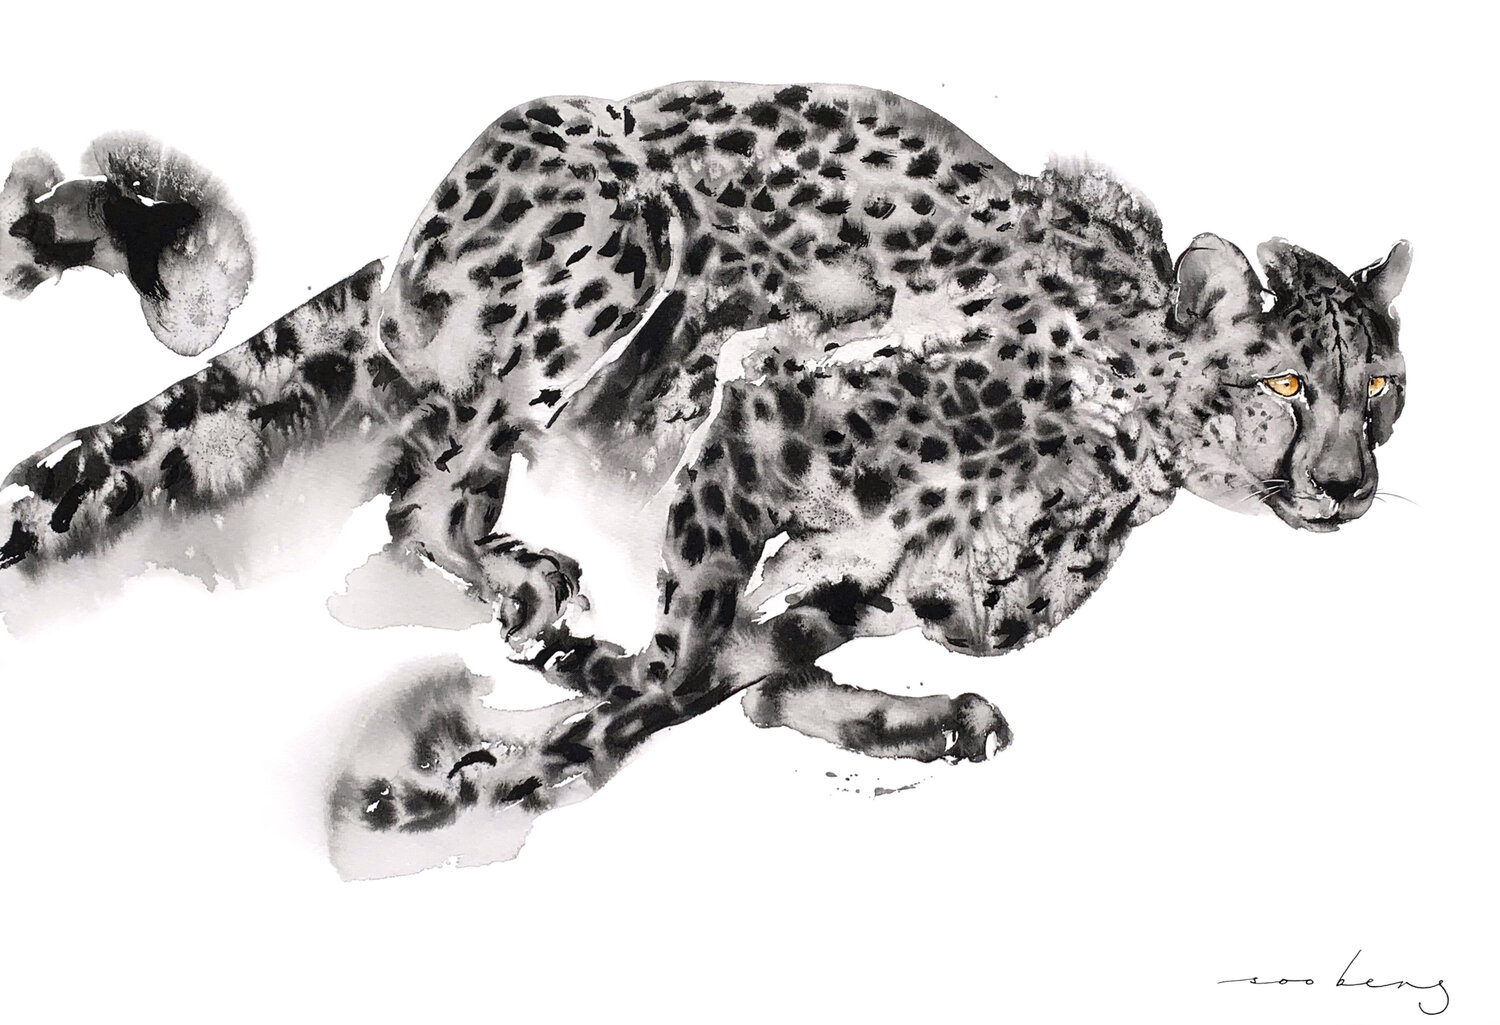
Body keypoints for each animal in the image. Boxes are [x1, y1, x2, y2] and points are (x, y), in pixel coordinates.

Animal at [0, 81, 1410, 876]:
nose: (1348, 483)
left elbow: (760, 671)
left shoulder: (865, 579)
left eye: (1385, 389)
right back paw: (525, 586)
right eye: (1289, 384)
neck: (1120, 460)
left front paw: (922, 719)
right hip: (623, 240)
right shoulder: (760, 404)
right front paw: (467, 772)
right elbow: (687, 668)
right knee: (426, 487)